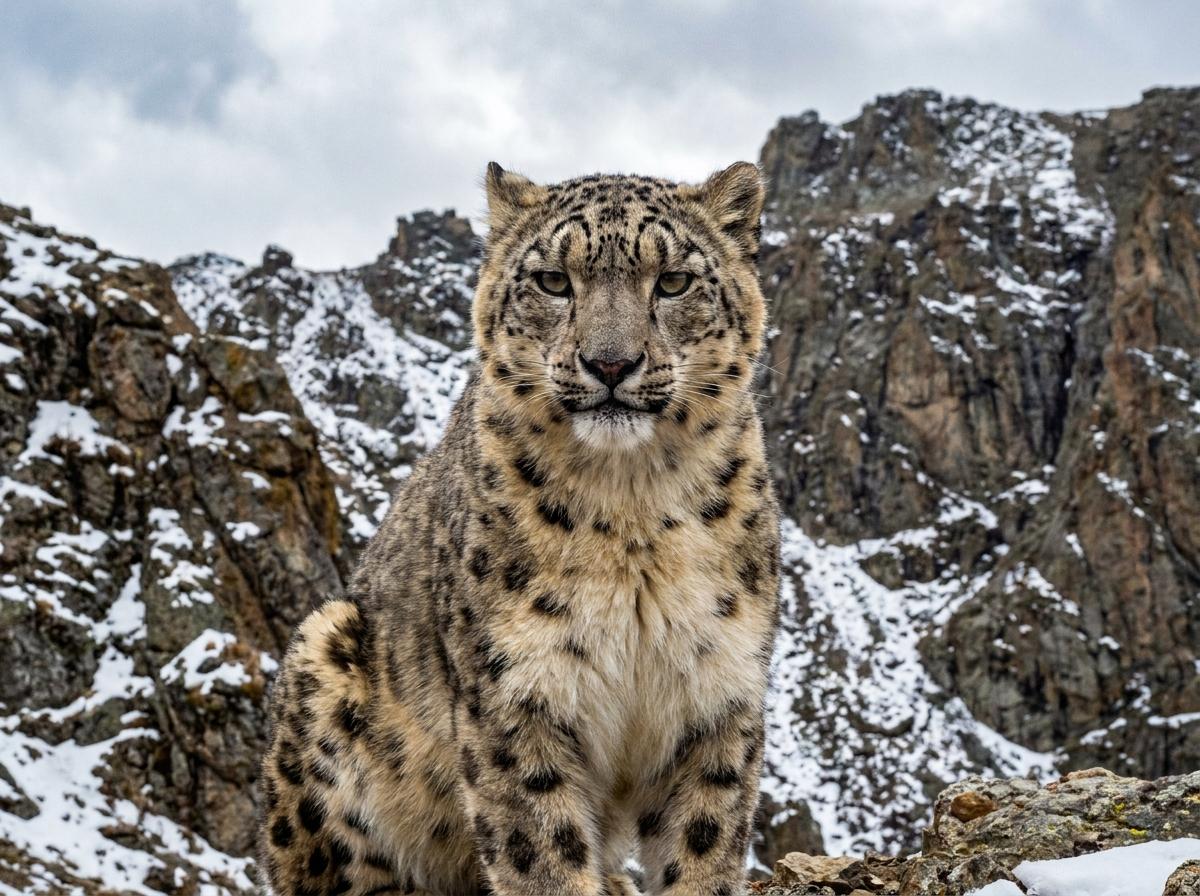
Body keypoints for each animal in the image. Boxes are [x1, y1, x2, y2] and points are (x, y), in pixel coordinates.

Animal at [257, 160, 782, 896]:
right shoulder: (516, 694)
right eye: (553, 281)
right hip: (324, 660)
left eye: (674, 281)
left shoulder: (716, 694)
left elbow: (704, 846)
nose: (611, 363)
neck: (633, 513)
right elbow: (543, 852)